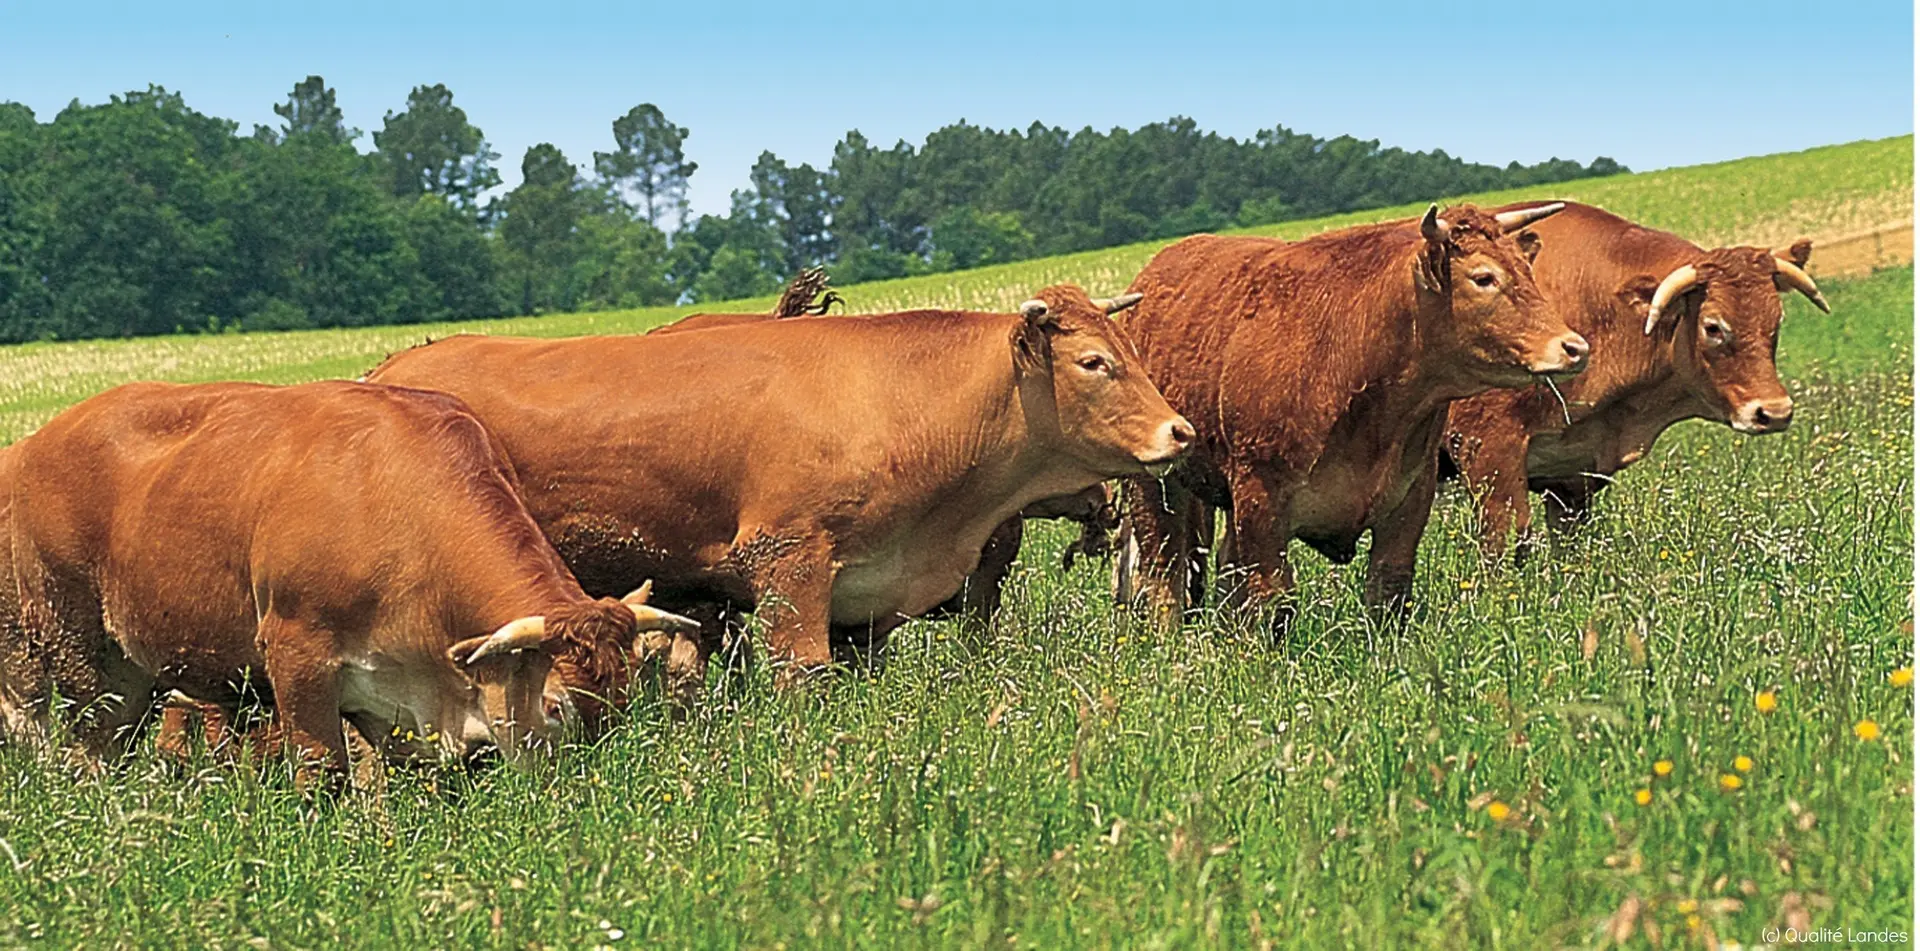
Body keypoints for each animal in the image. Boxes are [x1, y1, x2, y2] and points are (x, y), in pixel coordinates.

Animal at [1, 381, 697, 780]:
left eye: (624, 700)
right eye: (556, 706)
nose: (590, 794)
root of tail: (35, 445)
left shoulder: (402, 699)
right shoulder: (297, 658)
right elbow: (322, 772)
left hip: (135, 674)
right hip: (76, 658)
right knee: (83, 750)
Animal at [366, 285, 1194, 698]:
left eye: (1129, 349)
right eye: (1093, 362)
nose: (1180, 432)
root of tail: (389, 370)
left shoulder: (866, 599)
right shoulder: (789, 566)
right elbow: (803, 678)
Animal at [1112, 203, 1586, 635]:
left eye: (1525, 269)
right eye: (1484, 278)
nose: (1575, 347)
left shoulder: (1411, 494)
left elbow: (1389, 588)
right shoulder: (1261, 497)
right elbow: (1272, 596)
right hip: (1155, 488)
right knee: (1164, 569)